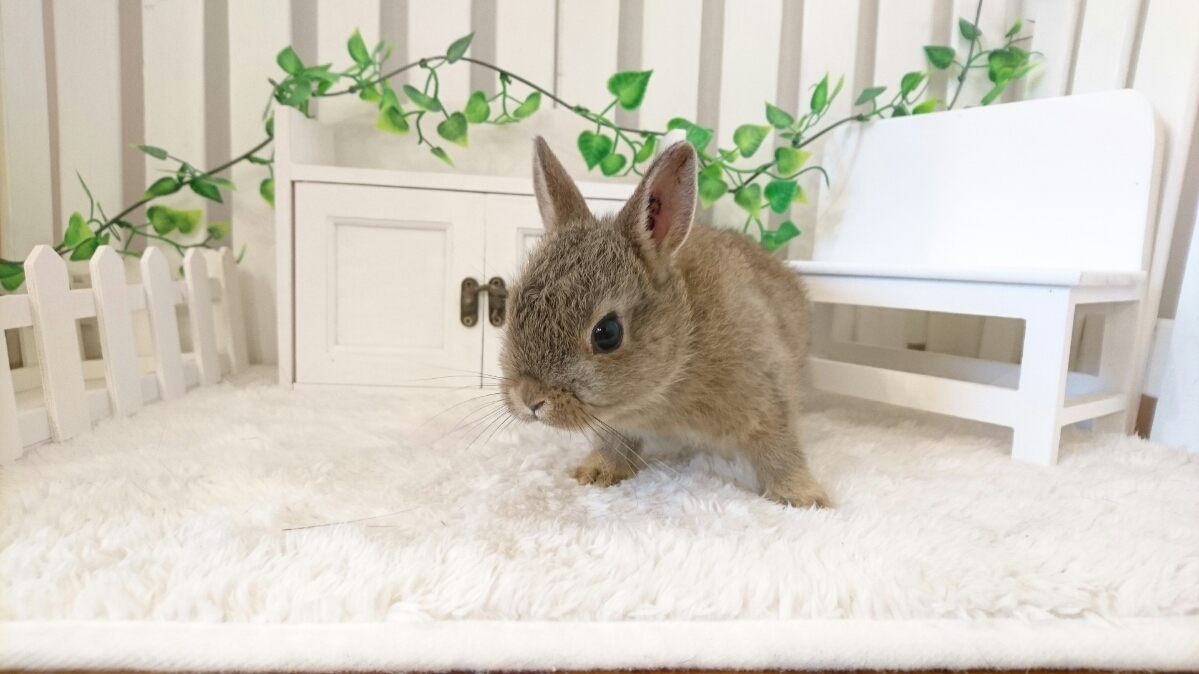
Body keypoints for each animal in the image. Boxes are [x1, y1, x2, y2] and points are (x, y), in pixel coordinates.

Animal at [498, 136, 830, 508]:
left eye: (607, 333)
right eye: (509, 308)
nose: (529, 398)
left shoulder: (768, 387)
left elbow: (779, 445)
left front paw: (802, 498)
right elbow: (615, 443)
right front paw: (597, 472)